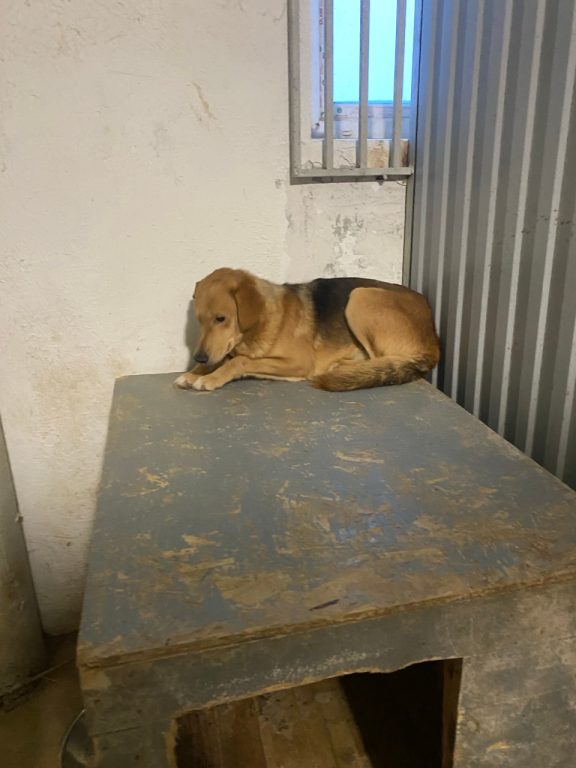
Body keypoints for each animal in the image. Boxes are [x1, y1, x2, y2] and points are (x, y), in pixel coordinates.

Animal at [174, 268, 440, 392]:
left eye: (221, 318)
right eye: (199, 320)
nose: (200, 356)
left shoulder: (298, 362)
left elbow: (239, 361)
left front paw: (210, 378)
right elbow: (225, 358)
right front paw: (194, 372)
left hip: (360, 297)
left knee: (381, 360)